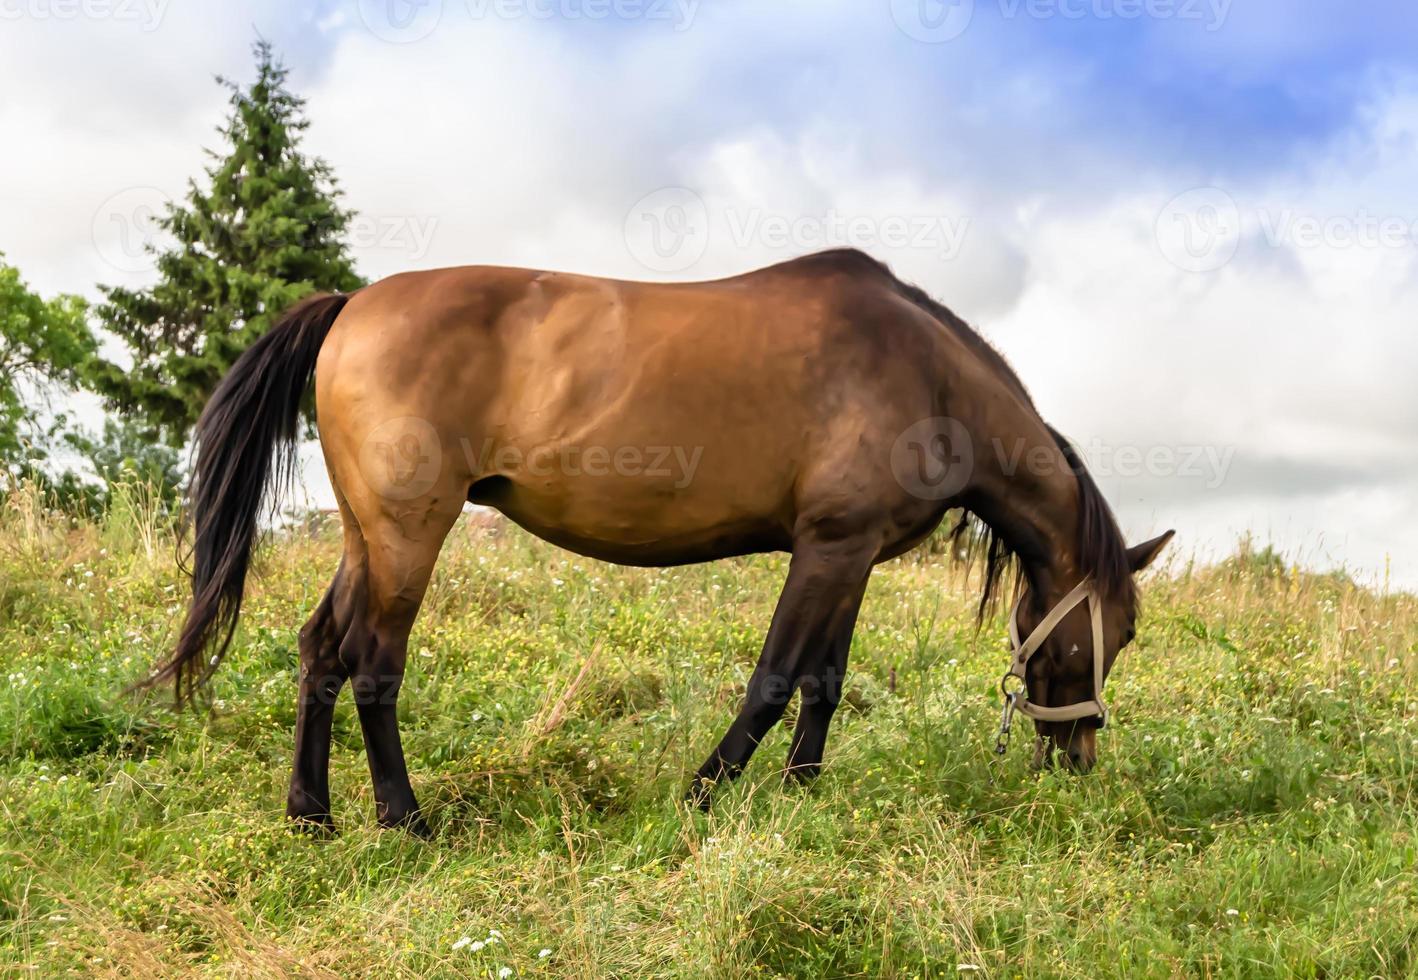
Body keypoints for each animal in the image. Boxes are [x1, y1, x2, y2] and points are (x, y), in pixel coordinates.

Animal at [146, 249, 1174, 833]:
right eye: (1116, 633)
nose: (1077, 758)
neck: (927, 376)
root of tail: (351, 305)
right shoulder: (827, 549)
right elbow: (774, 680)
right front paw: (704, 794)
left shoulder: (852, 557)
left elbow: (825, 682)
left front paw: (803, 796)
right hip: (408, 536)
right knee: (373, 663)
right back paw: (404, 820)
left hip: (366, 538)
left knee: (321, 650)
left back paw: (311, 816)